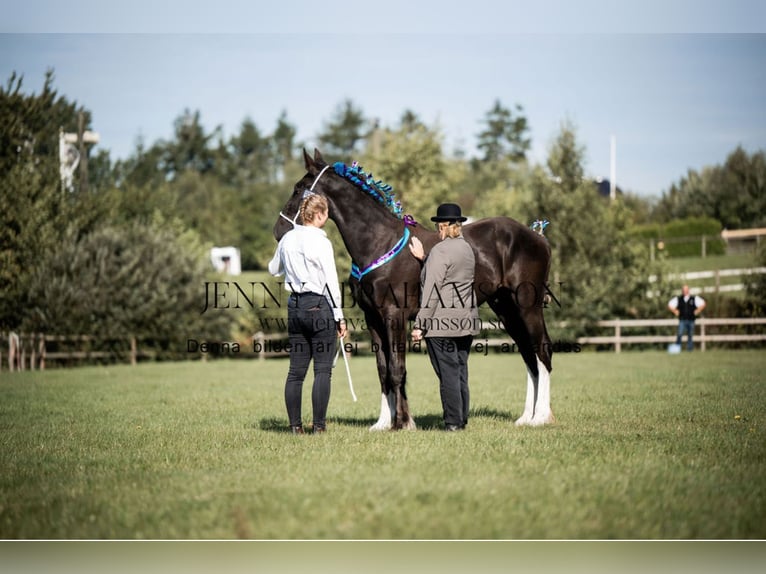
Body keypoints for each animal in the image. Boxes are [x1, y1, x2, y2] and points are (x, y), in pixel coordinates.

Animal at [273, 149, 554, 430]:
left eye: (298, 189)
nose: (278, 230)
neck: (378, 241)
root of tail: (537, 236)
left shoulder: (393, 315)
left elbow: (397, 369)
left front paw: (400, 423)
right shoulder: (373, 318)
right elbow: (383, 370)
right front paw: (385, 422)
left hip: (527, 306)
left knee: (542, 351)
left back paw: (541, 417)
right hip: (506, 308)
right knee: (529, 356)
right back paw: (526, 417)